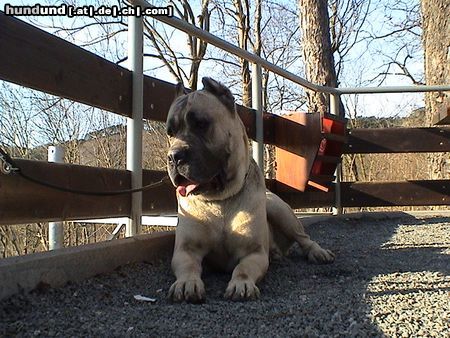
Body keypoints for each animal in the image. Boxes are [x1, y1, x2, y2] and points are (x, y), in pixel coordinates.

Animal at [165, 78, 334, 302]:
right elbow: (188, 266)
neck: (220, 200)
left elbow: (243, 268)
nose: (174, 156)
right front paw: (187, 283)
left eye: (201, 124)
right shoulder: (185, 250)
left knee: (304, 238)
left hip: (281, 211)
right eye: (170, 132)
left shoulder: (254, 253)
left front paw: (241, 284)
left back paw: (318, 252)